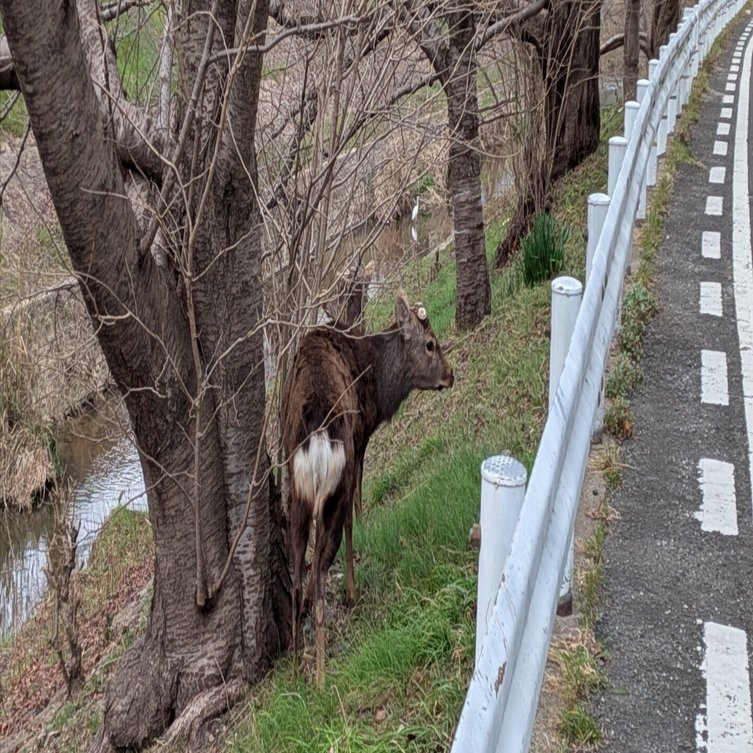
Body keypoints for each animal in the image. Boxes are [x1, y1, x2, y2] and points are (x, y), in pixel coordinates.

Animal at [281, 287, 454, 685]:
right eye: (431, 344)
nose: (451, 375)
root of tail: (317, 436)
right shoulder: (359, 444)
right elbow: (357, 510)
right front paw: (351, 590)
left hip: (296, 492)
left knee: (297, 573)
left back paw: (298, 668)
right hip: (333, 487)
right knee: (321, 568)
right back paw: (322, 674)